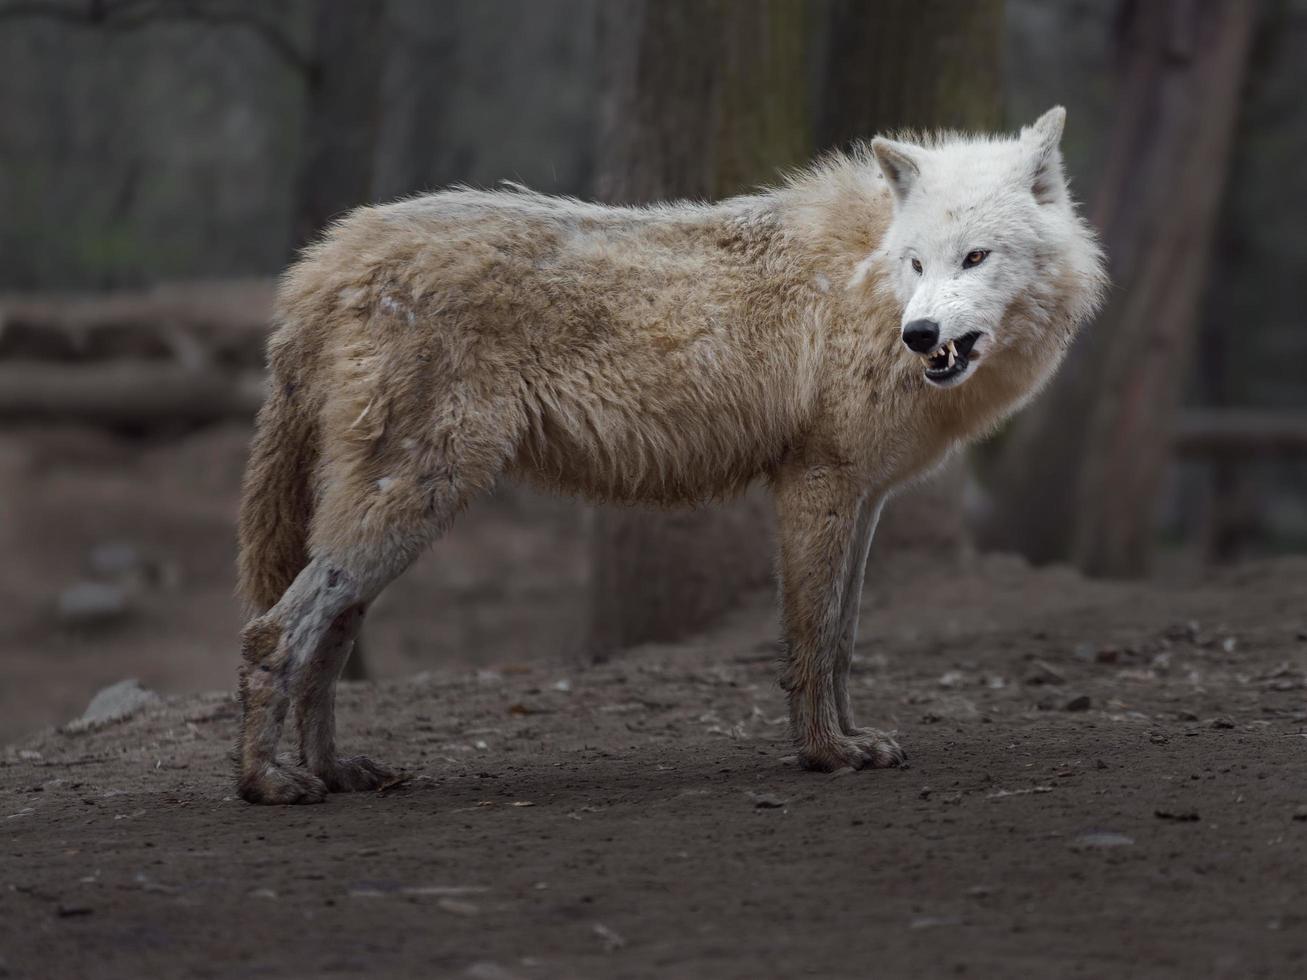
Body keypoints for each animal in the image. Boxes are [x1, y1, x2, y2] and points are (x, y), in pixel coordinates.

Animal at [232, 111, 1103, 810]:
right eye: (917, 263)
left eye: (974, 258)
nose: (920, 335)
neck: (865, 281)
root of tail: (320, 263)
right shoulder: (816, 482)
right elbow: (813, 636)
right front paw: (824, 753)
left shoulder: (866, 498)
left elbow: (845, 638)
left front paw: (854, 740)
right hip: (414, 502)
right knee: (271, 634)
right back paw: (267, 783)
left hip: (388, 515)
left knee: (328, 635)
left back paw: (335, 771)